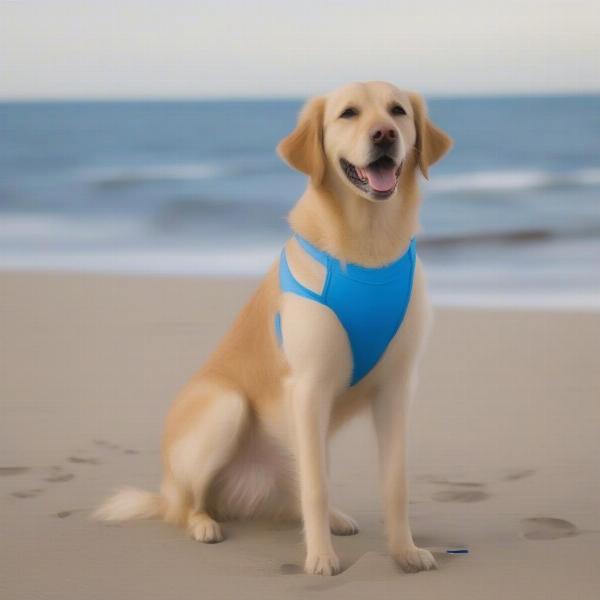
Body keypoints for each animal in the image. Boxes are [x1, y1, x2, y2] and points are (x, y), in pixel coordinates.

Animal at [95, 81, 450, 576]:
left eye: (398, 111)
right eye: (348, 113)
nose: (384, 134)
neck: (369, 246)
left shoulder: (396, 389)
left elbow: (395, 485)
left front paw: (404, 551)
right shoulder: (310, 386)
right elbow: (317, 487)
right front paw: (320, 558)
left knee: (294, 493)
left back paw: (334, 518)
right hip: (226, 408)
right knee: (187, 505)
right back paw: (204, 523)